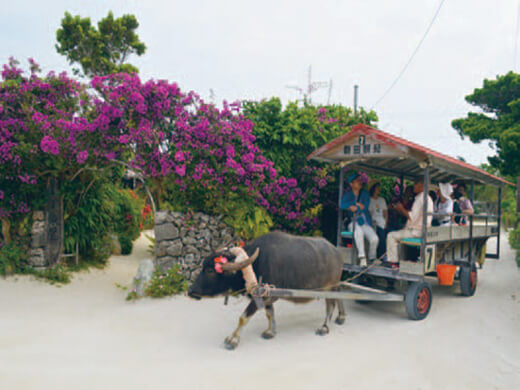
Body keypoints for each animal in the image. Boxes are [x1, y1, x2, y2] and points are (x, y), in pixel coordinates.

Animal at [187, 232, 346, 350]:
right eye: (203, 266)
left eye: (210, 270)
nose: (190, 291)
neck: (253, 265)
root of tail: (337, 252)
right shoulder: (268, 297)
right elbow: (270, 314)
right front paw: (270, 332)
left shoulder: (259, 297)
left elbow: (243, 317)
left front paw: (233, 339)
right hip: (334, 287)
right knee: (340, 296)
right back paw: (341, 317)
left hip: (330, 288)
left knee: (330, 305)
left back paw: (324, 327)